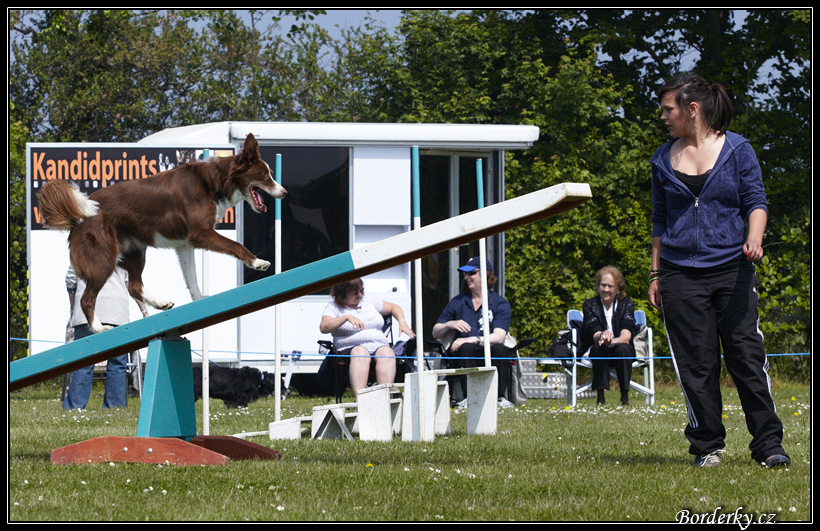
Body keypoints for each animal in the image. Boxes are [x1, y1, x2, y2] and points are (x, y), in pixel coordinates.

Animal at [36, 133, 286, 332]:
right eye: (265, 175)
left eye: (271, 173)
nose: (284, 192)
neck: (214, 181)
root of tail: (77, 220)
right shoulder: (200, 233)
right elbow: (236, 245)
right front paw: (257, 262)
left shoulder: (185, 244)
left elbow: (192, 277)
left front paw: (199, 301)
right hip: (104, 257)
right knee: (87, 300)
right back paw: (99, 328)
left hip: (135, 251)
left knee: (134, 285)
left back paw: (160, 303)